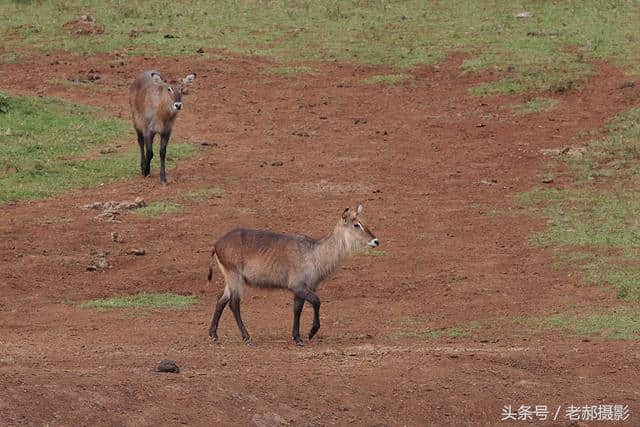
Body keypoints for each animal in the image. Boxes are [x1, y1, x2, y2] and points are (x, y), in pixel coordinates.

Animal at [206, 205, 380, 348]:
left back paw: (214, 335)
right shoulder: (299, 286)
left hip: (231, 279)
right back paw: (247, 337)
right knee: (234, 304)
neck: (315, 254)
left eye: (364, 222)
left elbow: (297, 309)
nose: (376, 241)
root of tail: (216, 243)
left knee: (221, 300)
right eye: (356, 224)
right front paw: (311, 332)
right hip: (235, 277)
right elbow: (316, 301)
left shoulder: (300, 290)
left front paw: (297, 338)